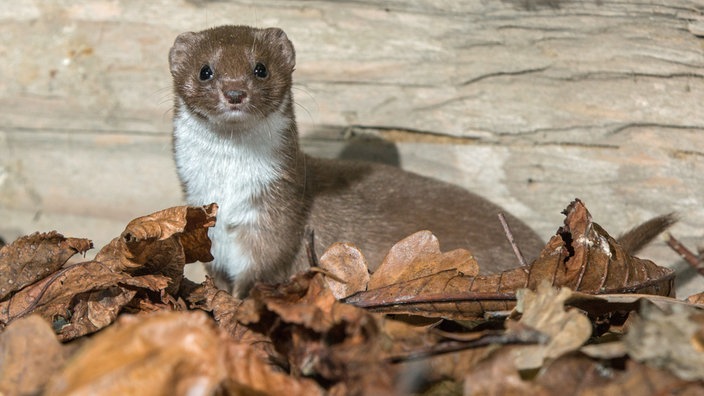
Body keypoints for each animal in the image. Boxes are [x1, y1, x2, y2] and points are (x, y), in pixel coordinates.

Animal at [168, 24, 548, 296]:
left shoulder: (276, 220)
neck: (230, 191)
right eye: (205, 70)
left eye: (260, 68)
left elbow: (261, 271)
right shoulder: (210, 230)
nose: (234, 92)